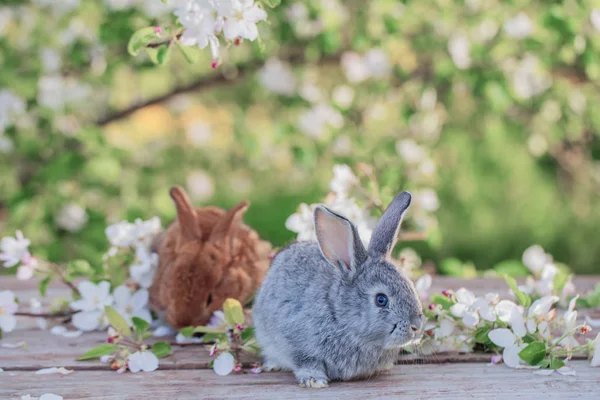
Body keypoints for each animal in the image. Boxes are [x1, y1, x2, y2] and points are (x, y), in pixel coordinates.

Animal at [251, 192, 424, 386]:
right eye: (381, 300)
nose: (416, 326)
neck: (338, 315)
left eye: (411, 286)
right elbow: (306, 361)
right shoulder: (296, 341)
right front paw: (314, 380)